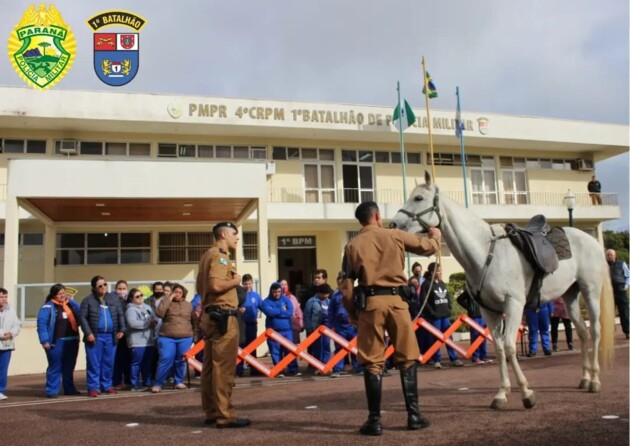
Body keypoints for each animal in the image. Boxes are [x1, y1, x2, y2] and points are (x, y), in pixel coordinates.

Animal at [344, 201, 442, 436]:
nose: (393, 224)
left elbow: (347, 279)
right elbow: (424, 245)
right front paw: (434, 236)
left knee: (380, 366)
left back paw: (376, 423)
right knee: (402, 361)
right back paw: (414, 419)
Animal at [390, 172, 616, 410]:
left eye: (418, 198)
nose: (394, 223)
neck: (485, 254)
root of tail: (592, 240)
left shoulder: (514, 305)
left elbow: (508, 346)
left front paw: (526, 393)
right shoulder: (489, 311)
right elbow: (498, 348)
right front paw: (501, 393)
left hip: (590, 291)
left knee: (596, 331)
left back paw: (595, 380)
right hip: (570, 295)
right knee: (582, 331)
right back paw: (585, 378)